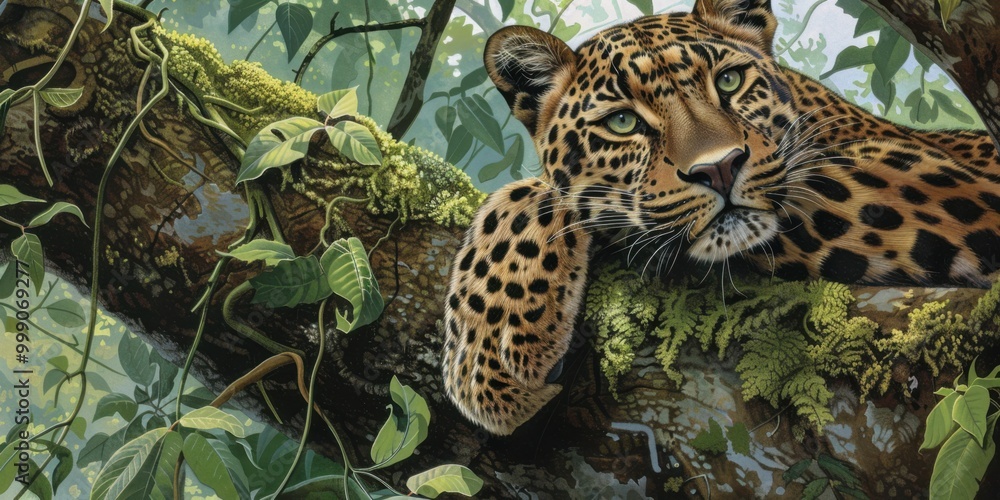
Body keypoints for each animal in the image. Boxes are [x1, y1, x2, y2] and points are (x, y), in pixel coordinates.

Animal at [442, 0, 1000, 435]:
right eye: (622, 122)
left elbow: (551, 195)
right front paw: (489, 350)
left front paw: (490, 353)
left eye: (729, 81)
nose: (719, 168)